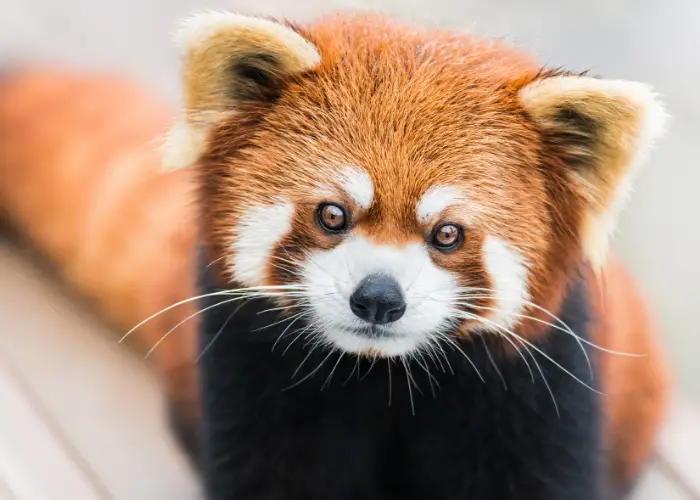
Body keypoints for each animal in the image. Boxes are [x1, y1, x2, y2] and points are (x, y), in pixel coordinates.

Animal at [0, 8, 668, 500]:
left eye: (447, 234)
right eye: (332, 215)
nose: (378, 299)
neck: (383, 378)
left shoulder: (532, 390)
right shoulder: (251, 372)